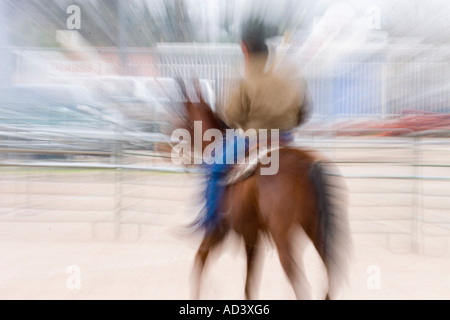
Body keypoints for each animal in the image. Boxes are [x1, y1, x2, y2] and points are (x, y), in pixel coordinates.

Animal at [174, 79, 354, 298]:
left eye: (185, 119)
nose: (178, 151)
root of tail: (308, 166)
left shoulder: (219, 229)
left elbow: (200, 258)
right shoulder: (251, 235)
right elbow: (249, 281)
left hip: (282, 234)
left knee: (297, 279)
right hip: (316, 228)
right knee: (328, 276)